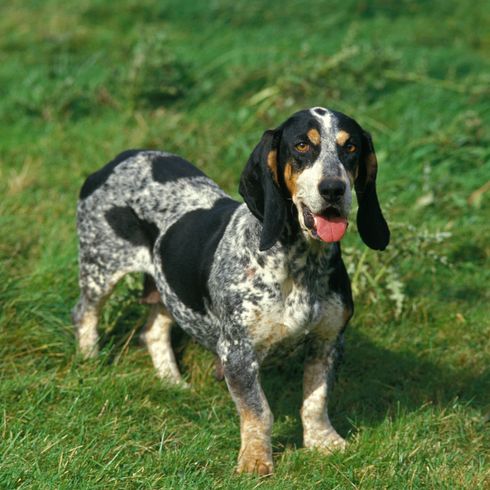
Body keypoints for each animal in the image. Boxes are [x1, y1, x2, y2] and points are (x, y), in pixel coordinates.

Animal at [72, 107, 390, 474]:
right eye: (301, 146)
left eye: (350, 147)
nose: (334, 189)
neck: (300, 263)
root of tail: (117, 160)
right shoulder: (238, 353)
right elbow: (259, 412)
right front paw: (255, 460)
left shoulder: (328, 342)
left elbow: (315, 401)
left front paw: (323, 442)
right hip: (100, 270)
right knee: (85, 313)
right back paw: (89, 360)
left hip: (170, 287)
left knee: (153, 330)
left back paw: (172, 381)